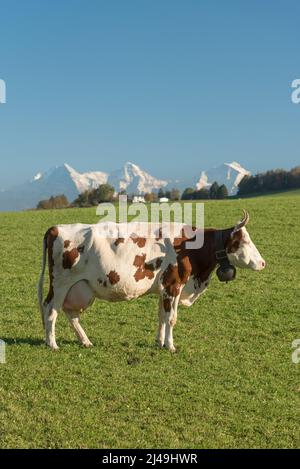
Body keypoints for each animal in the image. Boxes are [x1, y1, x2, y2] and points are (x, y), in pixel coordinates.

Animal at [37, 210, 264, 350]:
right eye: (244, 242)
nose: (263, 263)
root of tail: (56, 228)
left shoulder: (164, 288)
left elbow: (161, 316)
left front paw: (159, 342)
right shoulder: (173, 285)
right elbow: (171, 318)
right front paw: (170, 345)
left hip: (79, 288)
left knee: (71, 313)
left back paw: (85, 341)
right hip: (60, 284)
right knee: (51, 309)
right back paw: (52, 344)